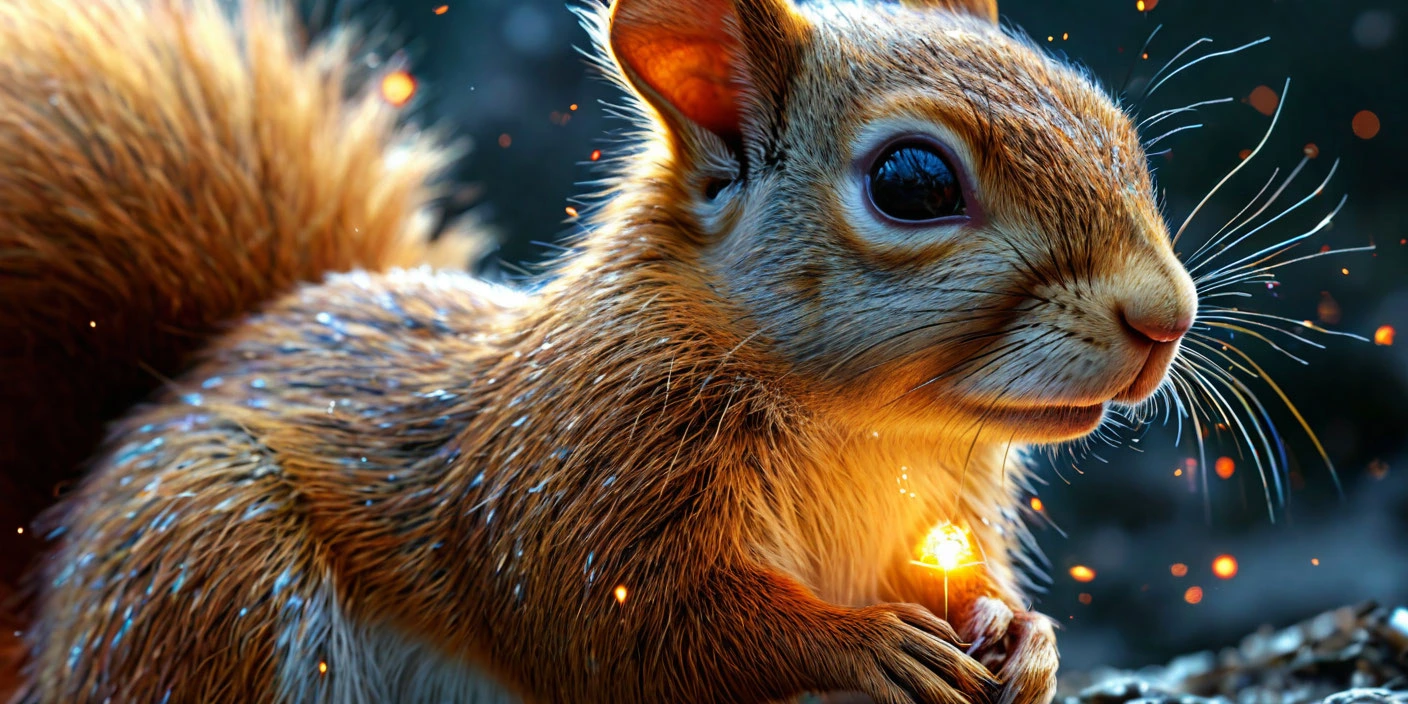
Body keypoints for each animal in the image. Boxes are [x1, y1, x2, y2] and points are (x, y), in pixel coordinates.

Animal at [0, 0, 1200, 701]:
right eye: (913, 183)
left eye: (1110, 122)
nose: (1166, 317)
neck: (870, 433)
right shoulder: (570, 479)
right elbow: (630, 629)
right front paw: (860, 647)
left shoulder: (939, 516)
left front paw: (1023, 636)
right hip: (207, 567)